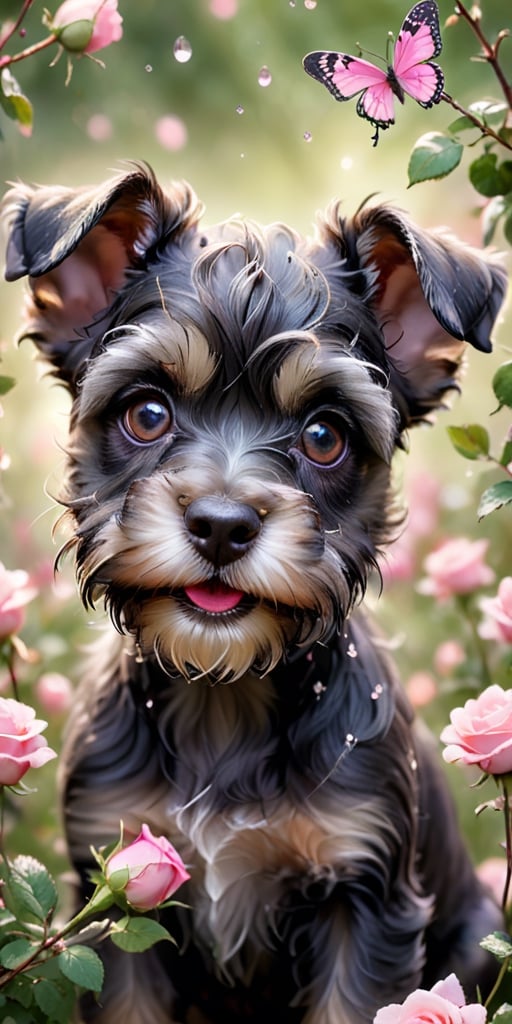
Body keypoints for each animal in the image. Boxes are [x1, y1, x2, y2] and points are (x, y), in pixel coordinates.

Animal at [2, 163, 507, 1019]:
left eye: (325, 436)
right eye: (146, 412)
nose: (221, 524)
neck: (225, 696)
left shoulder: (364, 900)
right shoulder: (117, 883)